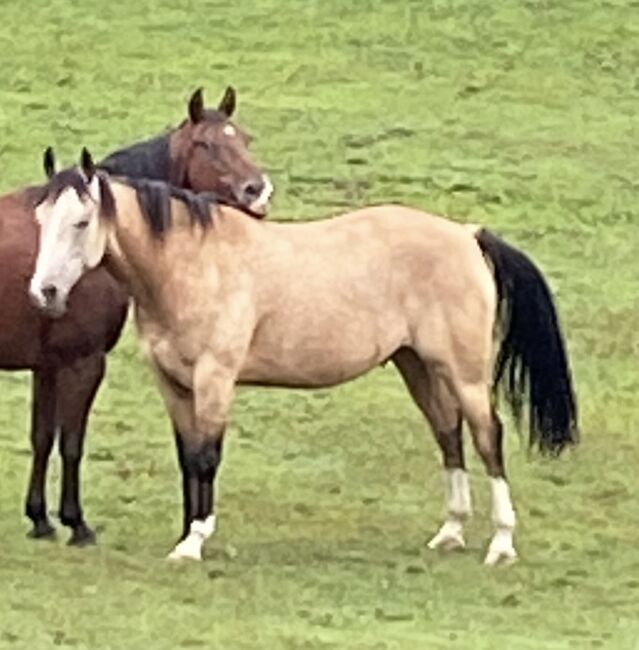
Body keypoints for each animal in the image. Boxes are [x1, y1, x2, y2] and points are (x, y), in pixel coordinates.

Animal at [0, 85, 272, 540]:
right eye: (206, 144)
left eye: (246, 139)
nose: (259, 191)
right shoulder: (84, 361)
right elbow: (71, 442)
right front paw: (76, 523)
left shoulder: (49, 364)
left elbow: (42, 437)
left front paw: (39, 519)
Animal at [27, 153, 576, 560]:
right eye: (40, 219)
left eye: (81, 222)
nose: (45, 292)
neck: (192, 264)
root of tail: (466, 233)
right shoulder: (173, 383)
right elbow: (188, 456)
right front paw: (186, 533)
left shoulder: (214, 379)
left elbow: (207, 456)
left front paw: (196, 539)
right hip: (417, 366)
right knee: (448, 434)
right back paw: (451, 532)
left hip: (463, 373)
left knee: (488, 438)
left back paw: (501, 544)